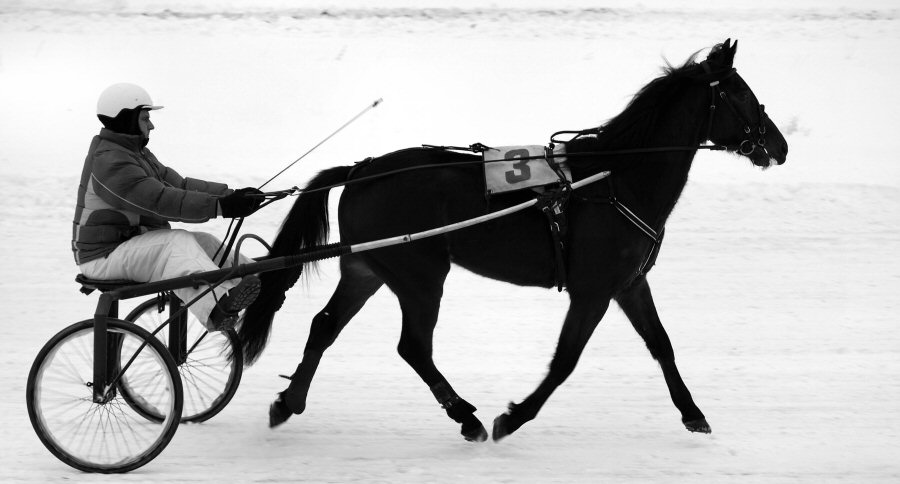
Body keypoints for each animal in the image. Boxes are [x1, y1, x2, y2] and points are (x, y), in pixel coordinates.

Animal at [238, 39, 788, 442]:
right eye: (741, 93)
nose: (779, 146)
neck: (617, 178)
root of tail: (360, 170)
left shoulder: (629, 283)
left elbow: (662, 344)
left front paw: (693, 413)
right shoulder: (593, 290)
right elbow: (565, 360)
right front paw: (513, 417)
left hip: (369, 268)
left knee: (325, 326)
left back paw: (288, 403)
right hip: (420, 275)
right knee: (413, 346)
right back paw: (467, 417)